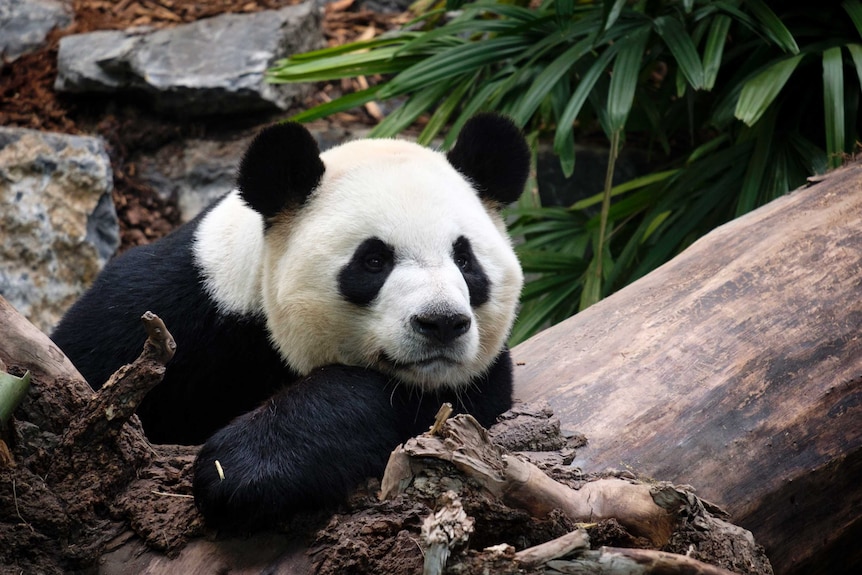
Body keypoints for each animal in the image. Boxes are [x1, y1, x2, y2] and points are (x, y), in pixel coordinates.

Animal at [52, 113, 532, 532]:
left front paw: (245, 470)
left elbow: (426, 402)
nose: (442, 323)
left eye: (465, 260)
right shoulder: (167, 303)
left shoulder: (472, 380)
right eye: (374, 260)